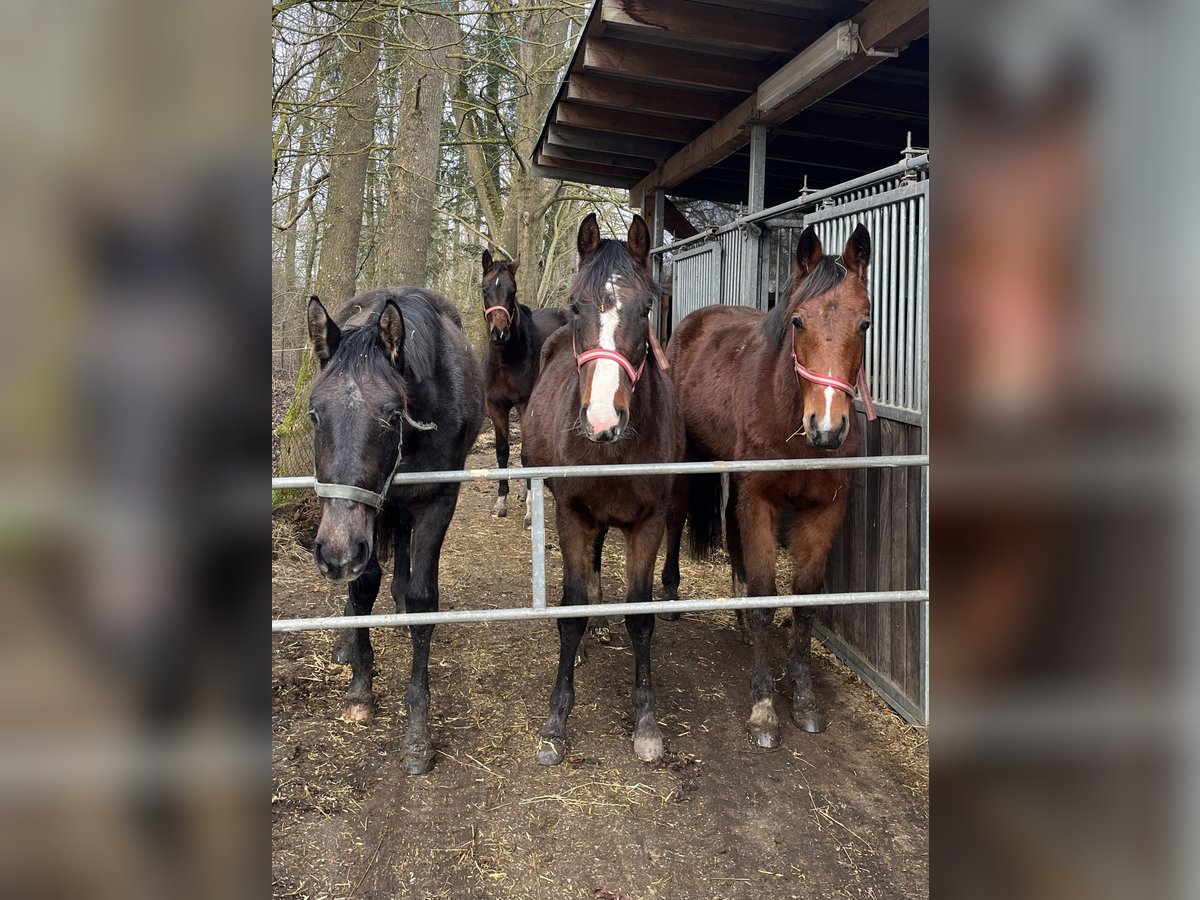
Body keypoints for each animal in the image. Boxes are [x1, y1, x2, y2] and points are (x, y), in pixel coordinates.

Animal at [304, 289, 482, 777]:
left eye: (391, 414)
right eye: (314, 414)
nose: (335, 554)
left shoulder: (438, 502)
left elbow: (423, 600)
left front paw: (418, 733)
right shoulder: (368, 521)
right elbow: (364, 587)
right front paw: (361, 688)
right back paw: (346, 640)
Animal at [477, 250, 571, 525]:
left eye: (513, 290)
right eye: (485, 289)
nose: (499, 334)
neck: (505, 361)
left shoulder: (525, 405)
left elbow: (526, 454)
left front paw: (531, 508)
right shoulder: (496, 407)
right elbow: (502, 451)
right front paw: (501, 501)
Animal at [525, 213, 686, 768]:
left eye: (646, 308)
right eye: (576, 305)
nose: (601, 420)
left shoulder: (649, 524)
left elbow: (641, 618)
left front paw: (647, 721)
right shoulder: (572, 514)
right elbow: (570, 612)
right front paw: (556, 720)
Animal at [662, 226, 878, 753]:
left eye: (864, 324)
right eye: (797, 320)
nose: (827, 428)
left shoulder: (824, 509)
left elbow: (804, 599)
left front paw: (804, 700)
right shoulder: (759, 499)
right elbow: (765, 595)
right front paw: (763, 709)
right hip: (688, 458)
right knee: (676, 514)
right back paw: (672, 594)